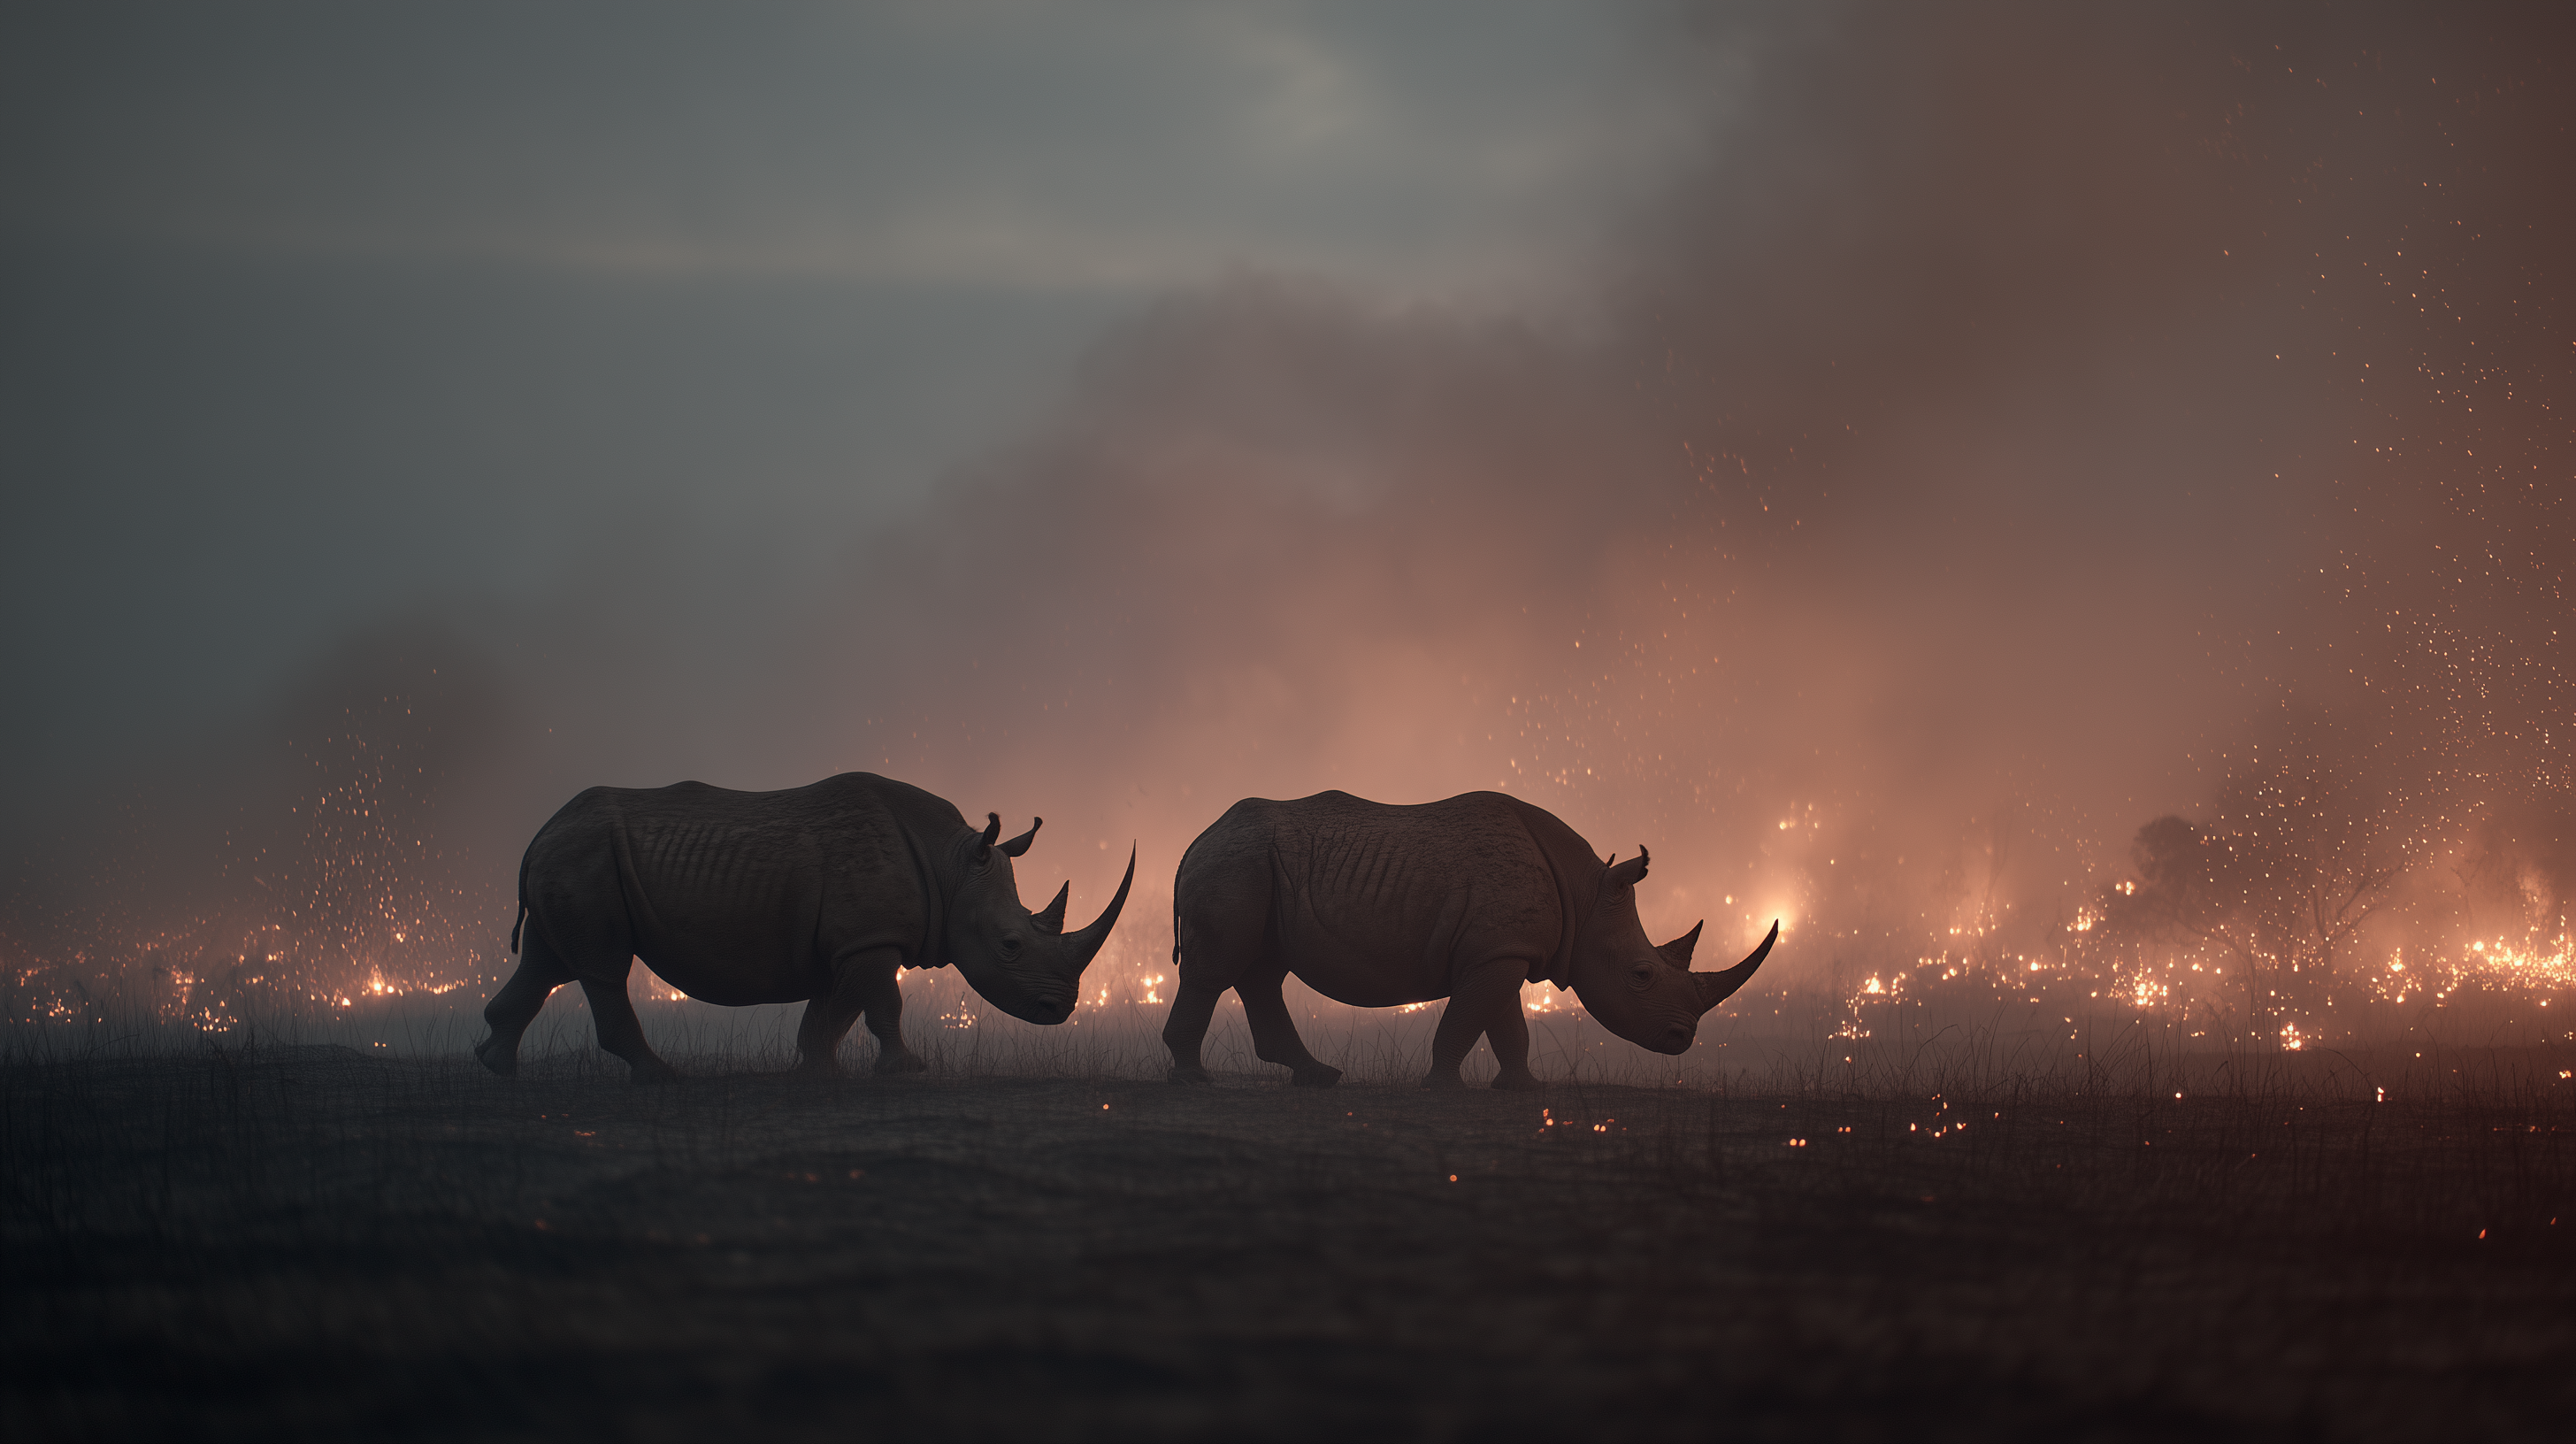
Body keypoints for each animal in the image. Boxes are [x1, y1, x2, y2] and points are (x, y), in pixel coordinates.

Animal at [477, 772, 1134, 1081]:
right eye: (1011, 945)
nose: (1058, 1010)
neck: (950, 863)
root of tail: (540, 831)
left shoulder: (852, 941)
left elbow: (833, 1011)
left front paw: (817, 1071)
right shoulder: (870, 939)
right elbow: (882, 1004)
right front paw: (908, 1070)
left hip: (573, 858)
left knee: (546, 964)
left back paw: (496, 1067)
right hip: (584, 859)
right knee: (601, 969)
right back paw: (662, 1077)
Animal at [1164, 790, 1775, 1090]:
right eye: (1641, 975)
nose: (1681, 1038)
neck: (1586, 891)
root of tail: (1196, 837)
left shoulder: (1503, 949)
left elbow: (1505, 1025)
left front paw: (1524, 1088)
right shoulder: (1496, 952)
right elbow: (1466, 1020)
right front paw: (1441, 1087)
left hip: (1255, 868)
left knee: (1262, 971)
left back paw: (1318, 1078)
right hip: (1236, 865)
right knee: (1219, 970)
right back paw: (1196, 1081)